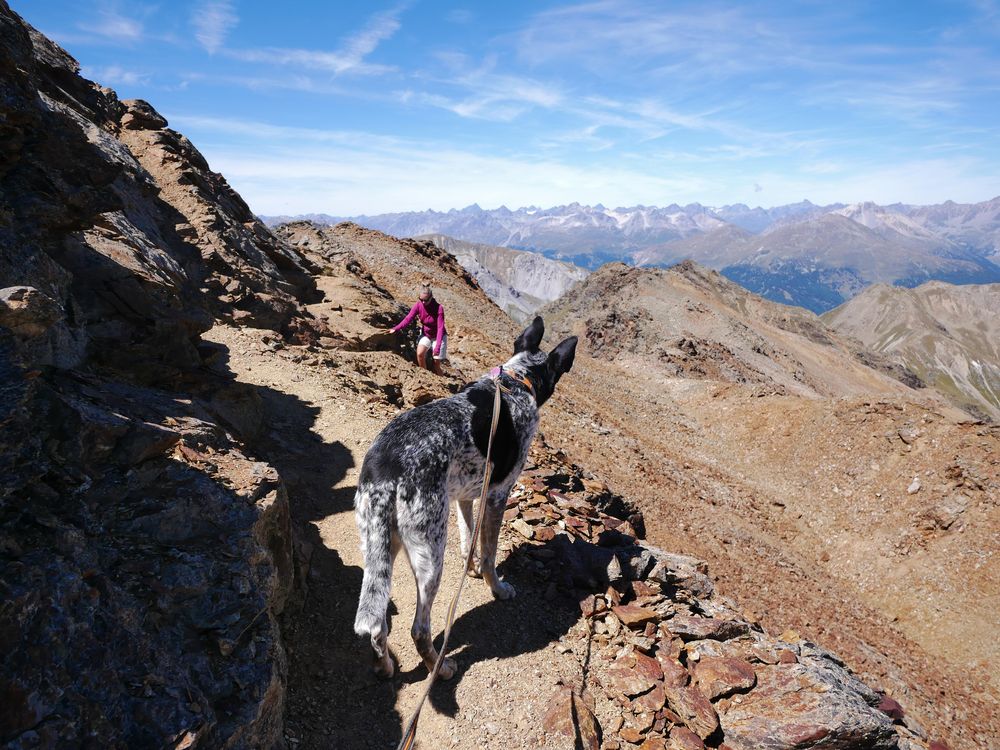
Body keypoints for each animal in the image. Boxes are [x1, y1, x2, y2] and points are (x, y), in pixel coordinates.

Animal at [354, 318, 580, 680]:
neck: (516, 381)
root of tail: (387, 468)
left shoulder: (465, 496)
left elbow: (468, 539)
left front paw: (470, 569)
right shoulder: (497, 494)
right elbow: (489, 554)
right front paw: (497, 588)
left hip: (377, 543)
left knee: (376, 623)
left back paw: (384, 666)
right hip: (430, 552)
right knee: (419, 628)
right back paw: (441, 667)